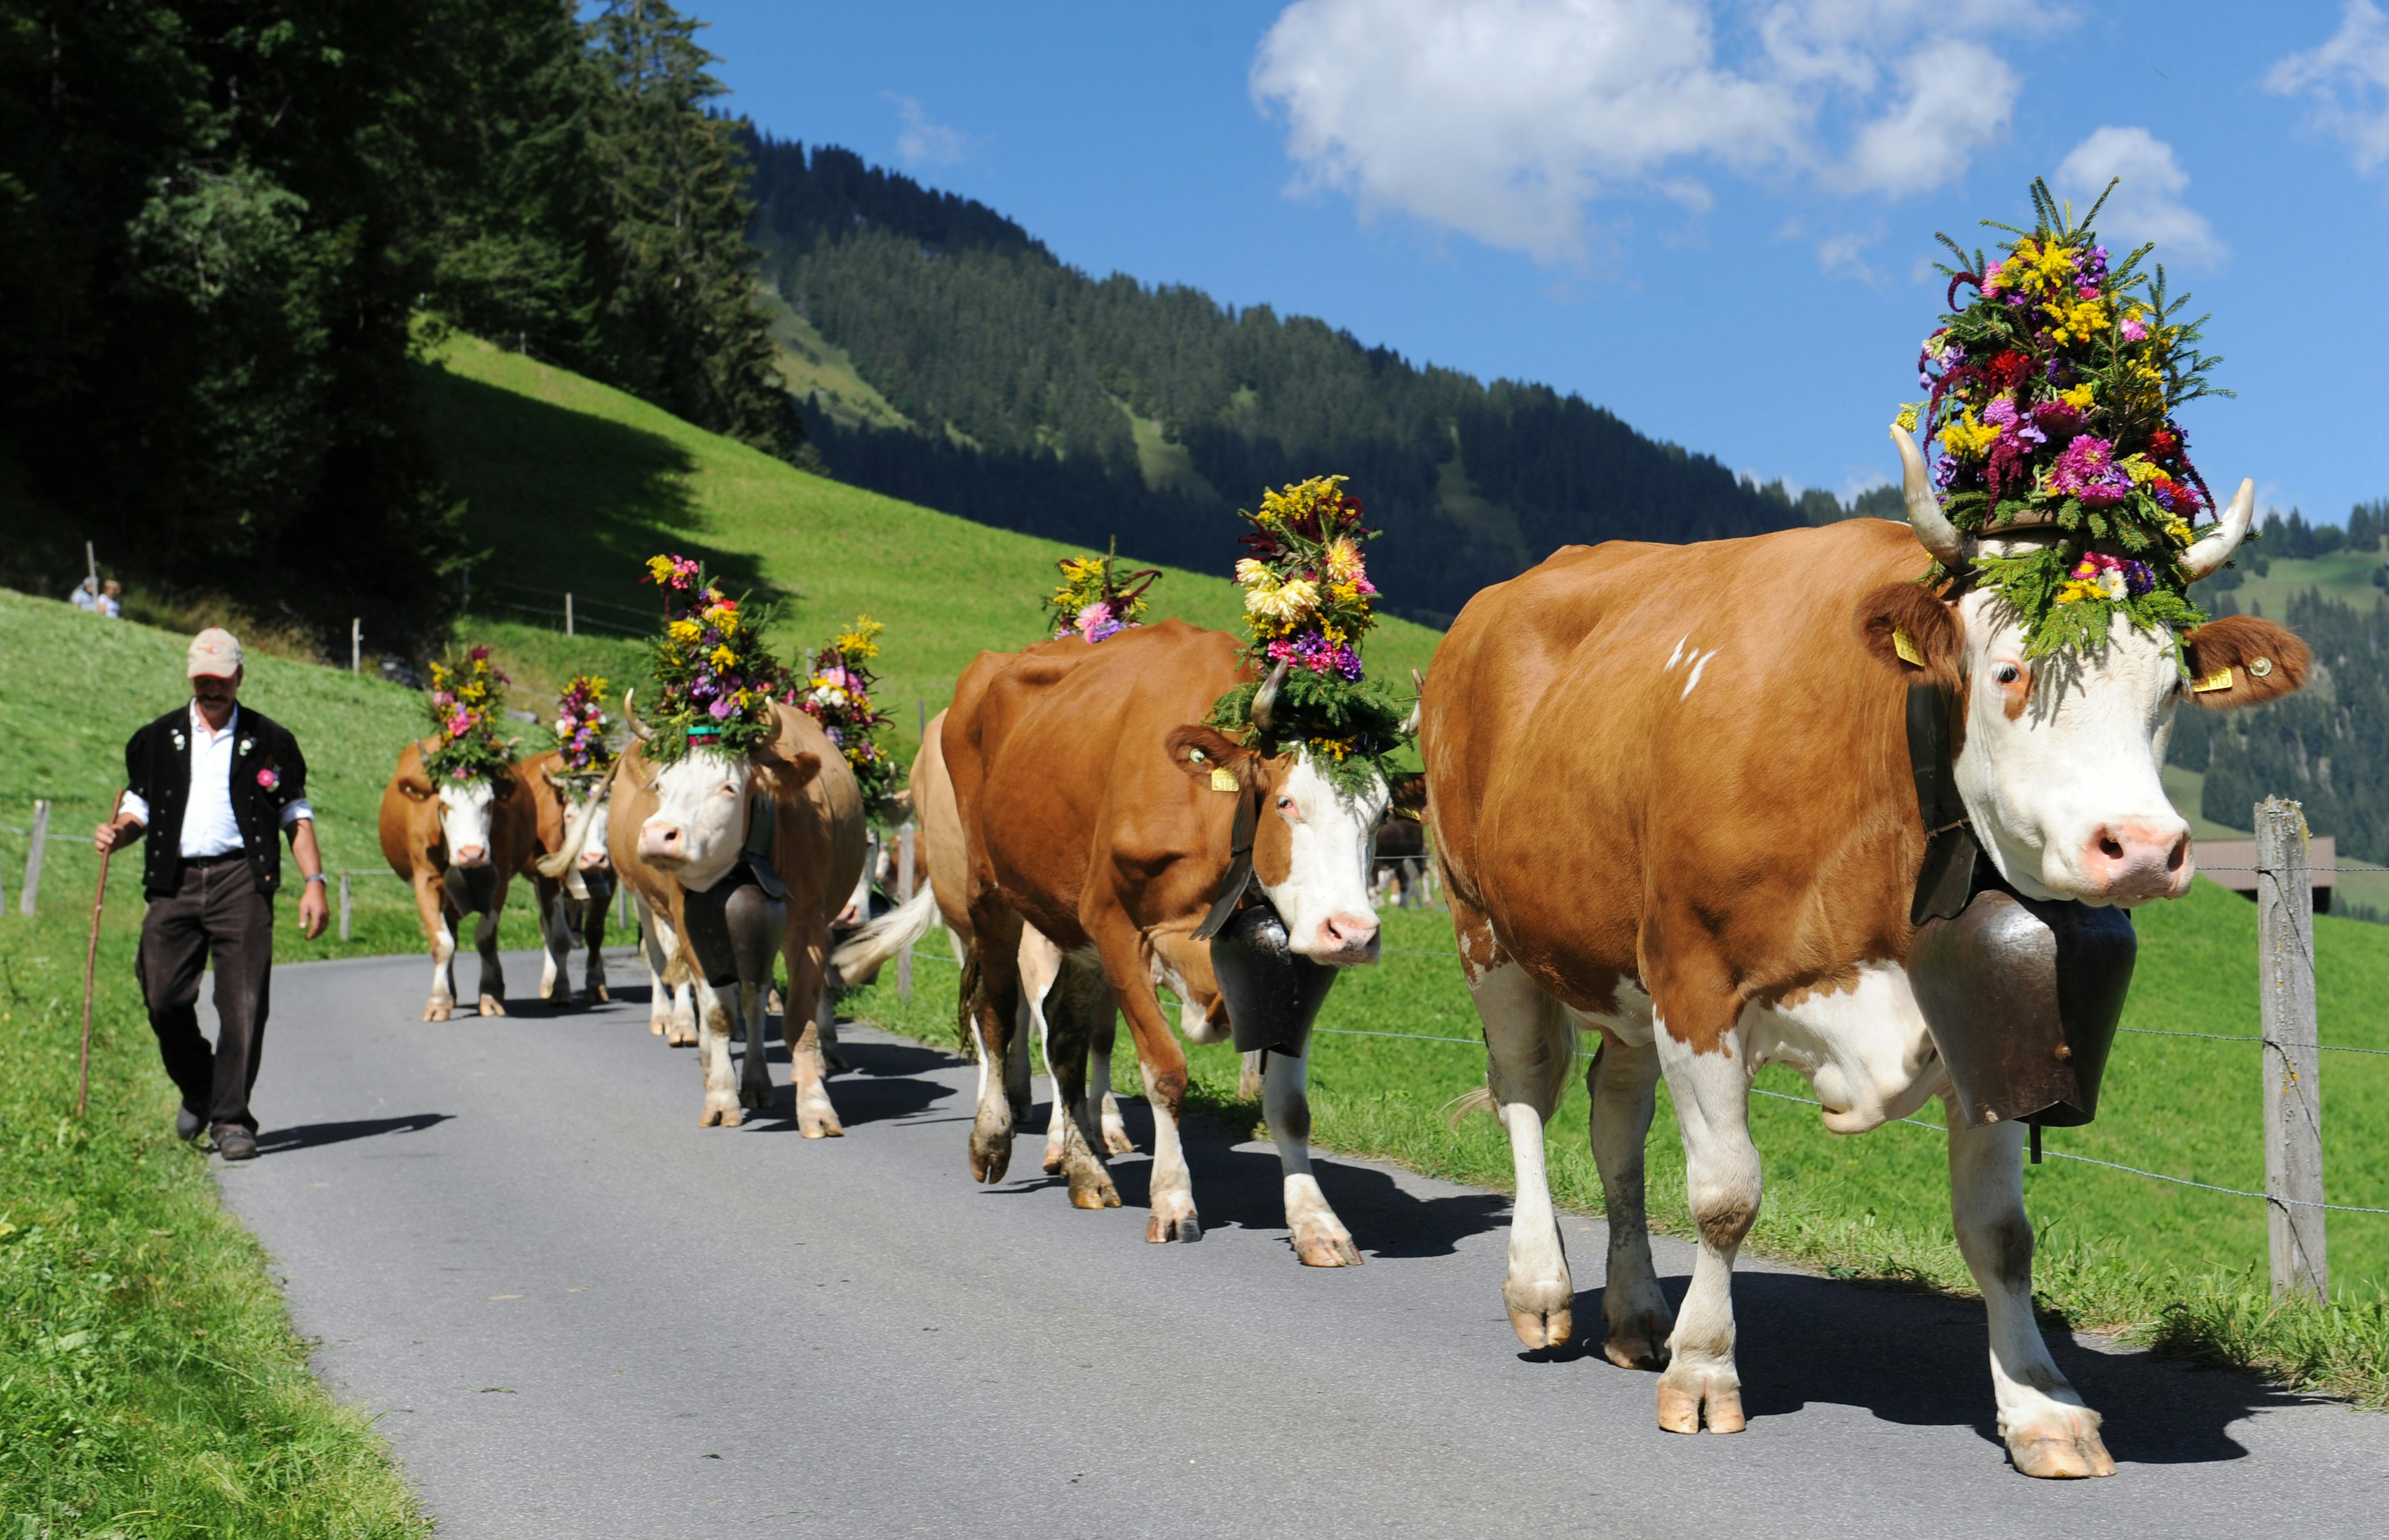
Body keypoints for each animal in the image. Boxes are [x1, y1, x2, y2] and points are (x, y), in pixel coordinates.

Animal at [380, 740, 539, 1021]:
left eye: (489, 803)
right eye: (444, 803)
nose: (472, 853)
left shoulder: (498, 883)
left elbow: (486, 939)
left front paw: (490, 996)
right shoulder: (426, 881)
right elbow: (443, 943)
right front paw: (438, 1002)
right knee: (451, 935)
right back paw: (451, 993)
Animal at [521, 749, 616, 1007]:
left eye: (608, 815)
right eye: (570, 815)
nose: (594, 859)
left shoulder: (609, 881)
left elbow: (595, 932)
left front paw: (596, 984)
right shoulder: (547, 881)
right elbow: (560, 938)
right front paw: (560, 988)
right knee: (546, 927)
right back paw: (549, 982)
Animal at [616, 697, 869, 1126]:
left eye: (729, 787)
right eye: (660, 786)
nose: (658, 835)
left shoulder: (808, 931)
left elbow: (798, 1018)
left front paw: (815, 1106)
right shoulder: (692, 929)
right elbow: (718, 1013)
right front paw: (721, 1098)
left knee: (755, 995)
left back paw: (757, 1080)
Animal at [1414, 182, 2312, 1480]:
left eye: (2171, 690)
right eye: (2007, 671)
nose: (2141, 848)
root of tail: (1499, 601)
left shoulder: (1984, 1016)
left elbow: (2000, 1233)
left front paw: (2042, 1404)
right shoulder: (1699, 978)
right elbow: (1727, 1194)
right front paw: (1706, 1372)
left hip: (1615, 955)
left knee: (1614, 1114)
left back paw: (1632, 1312)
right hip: (1488, 920)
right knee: (1528, 1093)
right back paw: (1543, 1291)